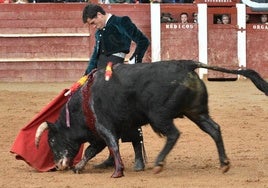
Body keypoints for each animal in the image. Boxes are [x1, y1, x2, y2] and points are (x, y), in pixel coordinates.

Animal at [36, 59, 268, 178]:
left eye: (52, 140)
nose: (59, 165)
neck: (83, 103)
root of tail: (186, 64)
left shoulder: (104, 127)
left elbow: (112, 146)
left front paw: (117, 172)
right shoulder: (99, 133)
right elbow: (92, 150)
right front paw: (79, 167)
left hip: (159, 116)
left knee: (174, 134)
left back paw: (158, 163)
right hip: (196, 112)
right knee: (214, 129)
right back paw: (224, 163)